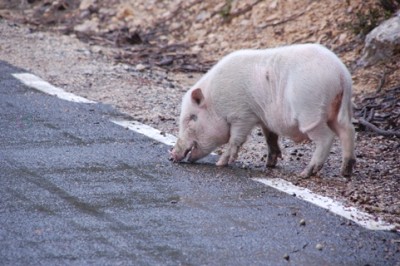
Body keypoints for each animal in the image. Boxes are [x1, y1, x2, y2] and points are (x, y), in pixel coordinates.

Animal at [169, 43, 356, 178]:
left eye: (192, 118)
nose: (171, 156)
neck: (215, 102)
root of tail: (342, 74)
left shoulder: (242, 115)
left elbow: (235, 139)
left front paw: (220, 163)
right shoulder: (264, 118)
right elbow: (270, 137)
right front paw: (269, 164)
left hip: (310, 113)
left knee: (327, 137)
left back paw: (305, 173)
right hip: (337, 110)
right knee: (348, 130)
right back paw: (345, 171)